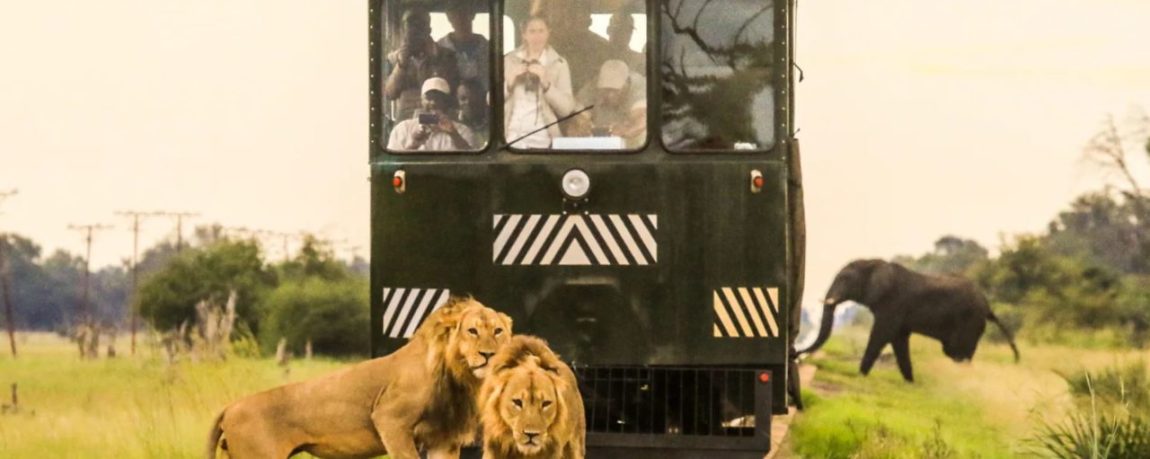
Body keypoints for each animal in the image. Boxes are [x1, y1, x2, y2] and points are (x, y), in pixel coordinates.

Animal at [206, 296, 512, 459]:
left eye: (498, 331)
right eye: (472, 331)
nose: (488, 355)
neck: (458, 374)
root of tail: (229, 407)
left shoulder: (443, 439)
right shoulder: (390, 419)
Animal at [796, 259, 1019, 382]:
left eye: (845, 279)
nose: (796, 353)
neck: (874, 263)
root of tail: (988, 307)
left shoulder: (892, 304)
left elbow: (881, 335)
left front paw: (859, 375)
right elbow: (899, 340)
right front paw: (910, 382)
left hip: (969, 323)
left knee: (958, 353)